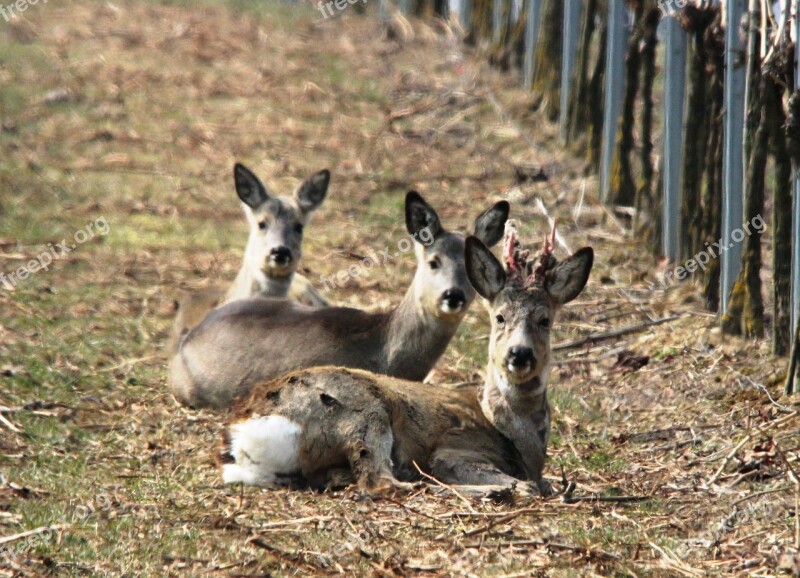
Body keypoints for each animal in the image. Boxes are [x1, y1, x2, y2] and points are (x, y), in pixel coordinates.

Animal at [219, 223, 592, 492]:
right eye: (499, 317)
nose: (519, 353)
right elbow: (527, 486)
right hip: (362, 412)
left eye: (545, 320)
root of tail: (249, 428)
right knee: (380, 483)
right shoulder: (454, 448)